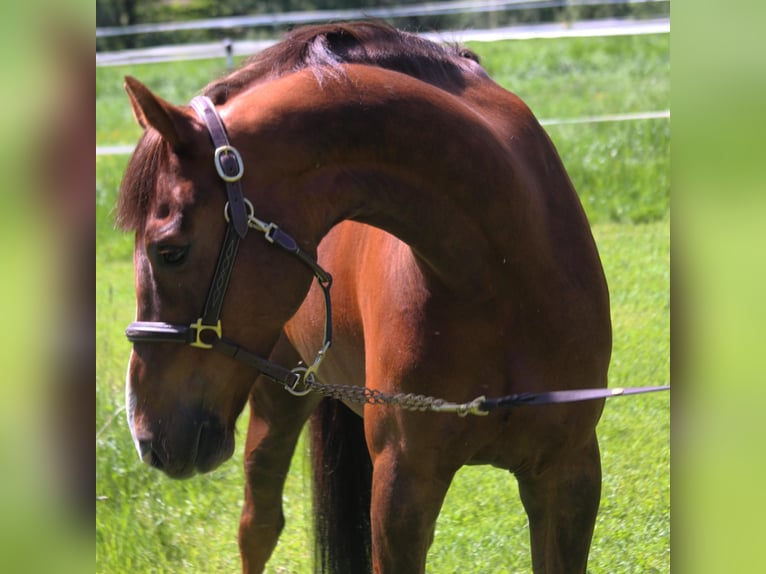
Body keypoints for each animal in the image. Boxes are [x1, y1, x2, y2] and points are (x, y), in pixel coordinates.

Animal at [118, 21, 612, 574]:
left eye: (170, 252)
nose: (145, 434)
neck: (502, 278)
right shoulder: (403, 489)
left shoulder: (568, 476)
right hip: (275, 400)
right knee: (258, 527)